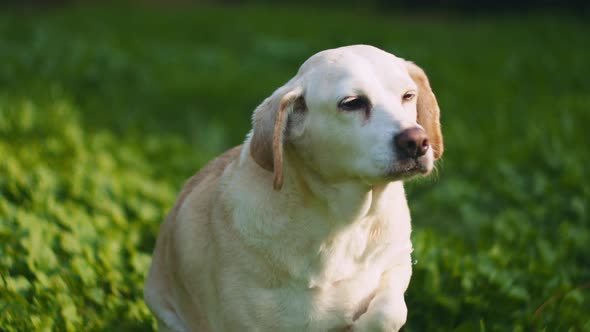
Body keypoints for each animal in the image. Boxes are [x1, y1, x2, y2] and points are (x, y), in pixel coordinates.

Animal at [146, 44, 444, 332]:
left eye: (408, 96)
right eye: (352, 103)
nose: (417, 141)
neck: (342, 224)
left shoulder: (396, 261)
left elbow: (389, 312)